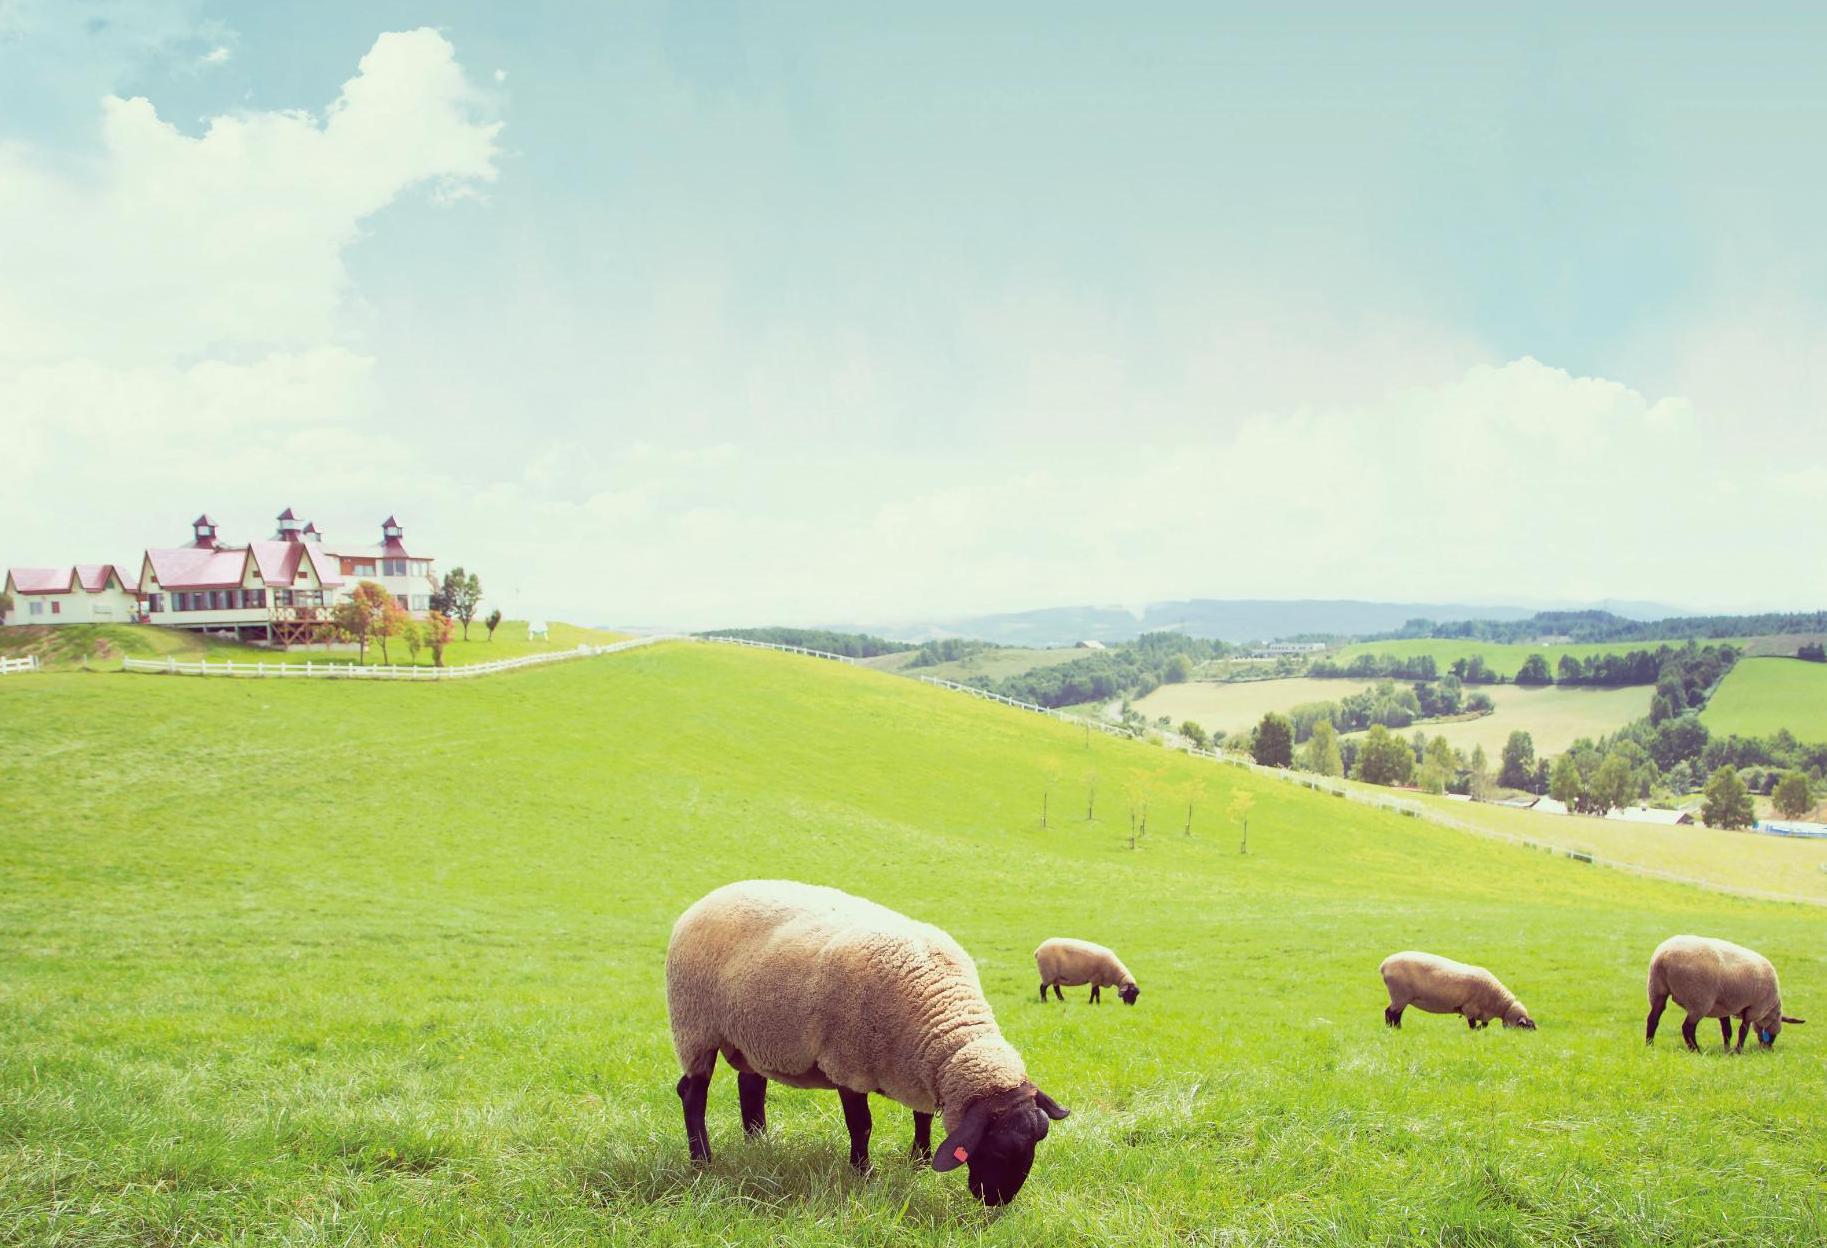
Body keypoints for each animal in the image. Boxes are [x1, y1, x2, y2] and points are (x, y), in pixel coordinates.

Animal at [668, 877, 1066, 1213]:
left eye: (1036, 1143)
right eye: (997, 1148)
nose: (998, 1203)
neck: (945, 1019)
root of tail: (711, 896)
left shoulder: (917, 1069)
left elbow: (921, 1115)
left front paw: (919, 1160)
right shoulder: (848, 1065)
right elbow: (861, 1124)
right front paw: (864, 1173)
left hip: (752, 1036)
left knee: (750, 1086)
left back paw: (759, 1143)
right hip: (695, 1027)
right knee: (692, 1094)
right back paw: (702, 1160)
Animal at [1373, 950, 1534, 1030]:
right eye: (1524, 1026)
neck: (1499, 1003)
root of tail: (1384, 965)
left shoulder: (1480, 1011)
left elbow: (1484, 1025)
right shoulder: (1470, 1008)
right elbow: (1473, 1025)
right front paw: (1474, 1032)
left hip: (1402, 997)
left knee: (1396, 1013)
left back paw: (1397, 1028)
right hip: (1400, 994)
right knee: (1390, 1012)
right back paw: (1393, 1029)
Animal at [1651, 935, 1805, 1052]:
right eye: (1774, 1035)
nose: (1768, 1050)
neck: (1770, 1010)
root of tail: (1663, 957)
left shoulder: (1724, 1008)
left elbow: (1727, 1031)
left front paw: (1727, 1050)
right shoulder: (1753, 1009)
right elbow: (1743, 1031)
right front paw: (1738, 1051)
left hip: (1657, 990)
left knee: (1653, 1018)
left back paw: (1649, 1044)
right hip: (1699, 1000)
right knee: (1687, 1028)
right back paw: (1696, 1050)